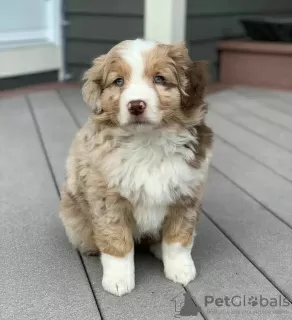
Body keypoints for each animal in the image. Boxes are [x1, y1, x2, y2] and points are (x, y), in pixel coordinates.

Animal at [60, 38, 212, 296]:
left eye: (159, 79)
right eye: (118, 81)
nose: (136, 105)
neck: (147, 141)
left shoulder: (186, 194)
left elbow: (178, 239)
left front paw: (180, 269)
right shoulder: (107, 200)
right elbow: (116, 242)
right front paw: (118, 280)